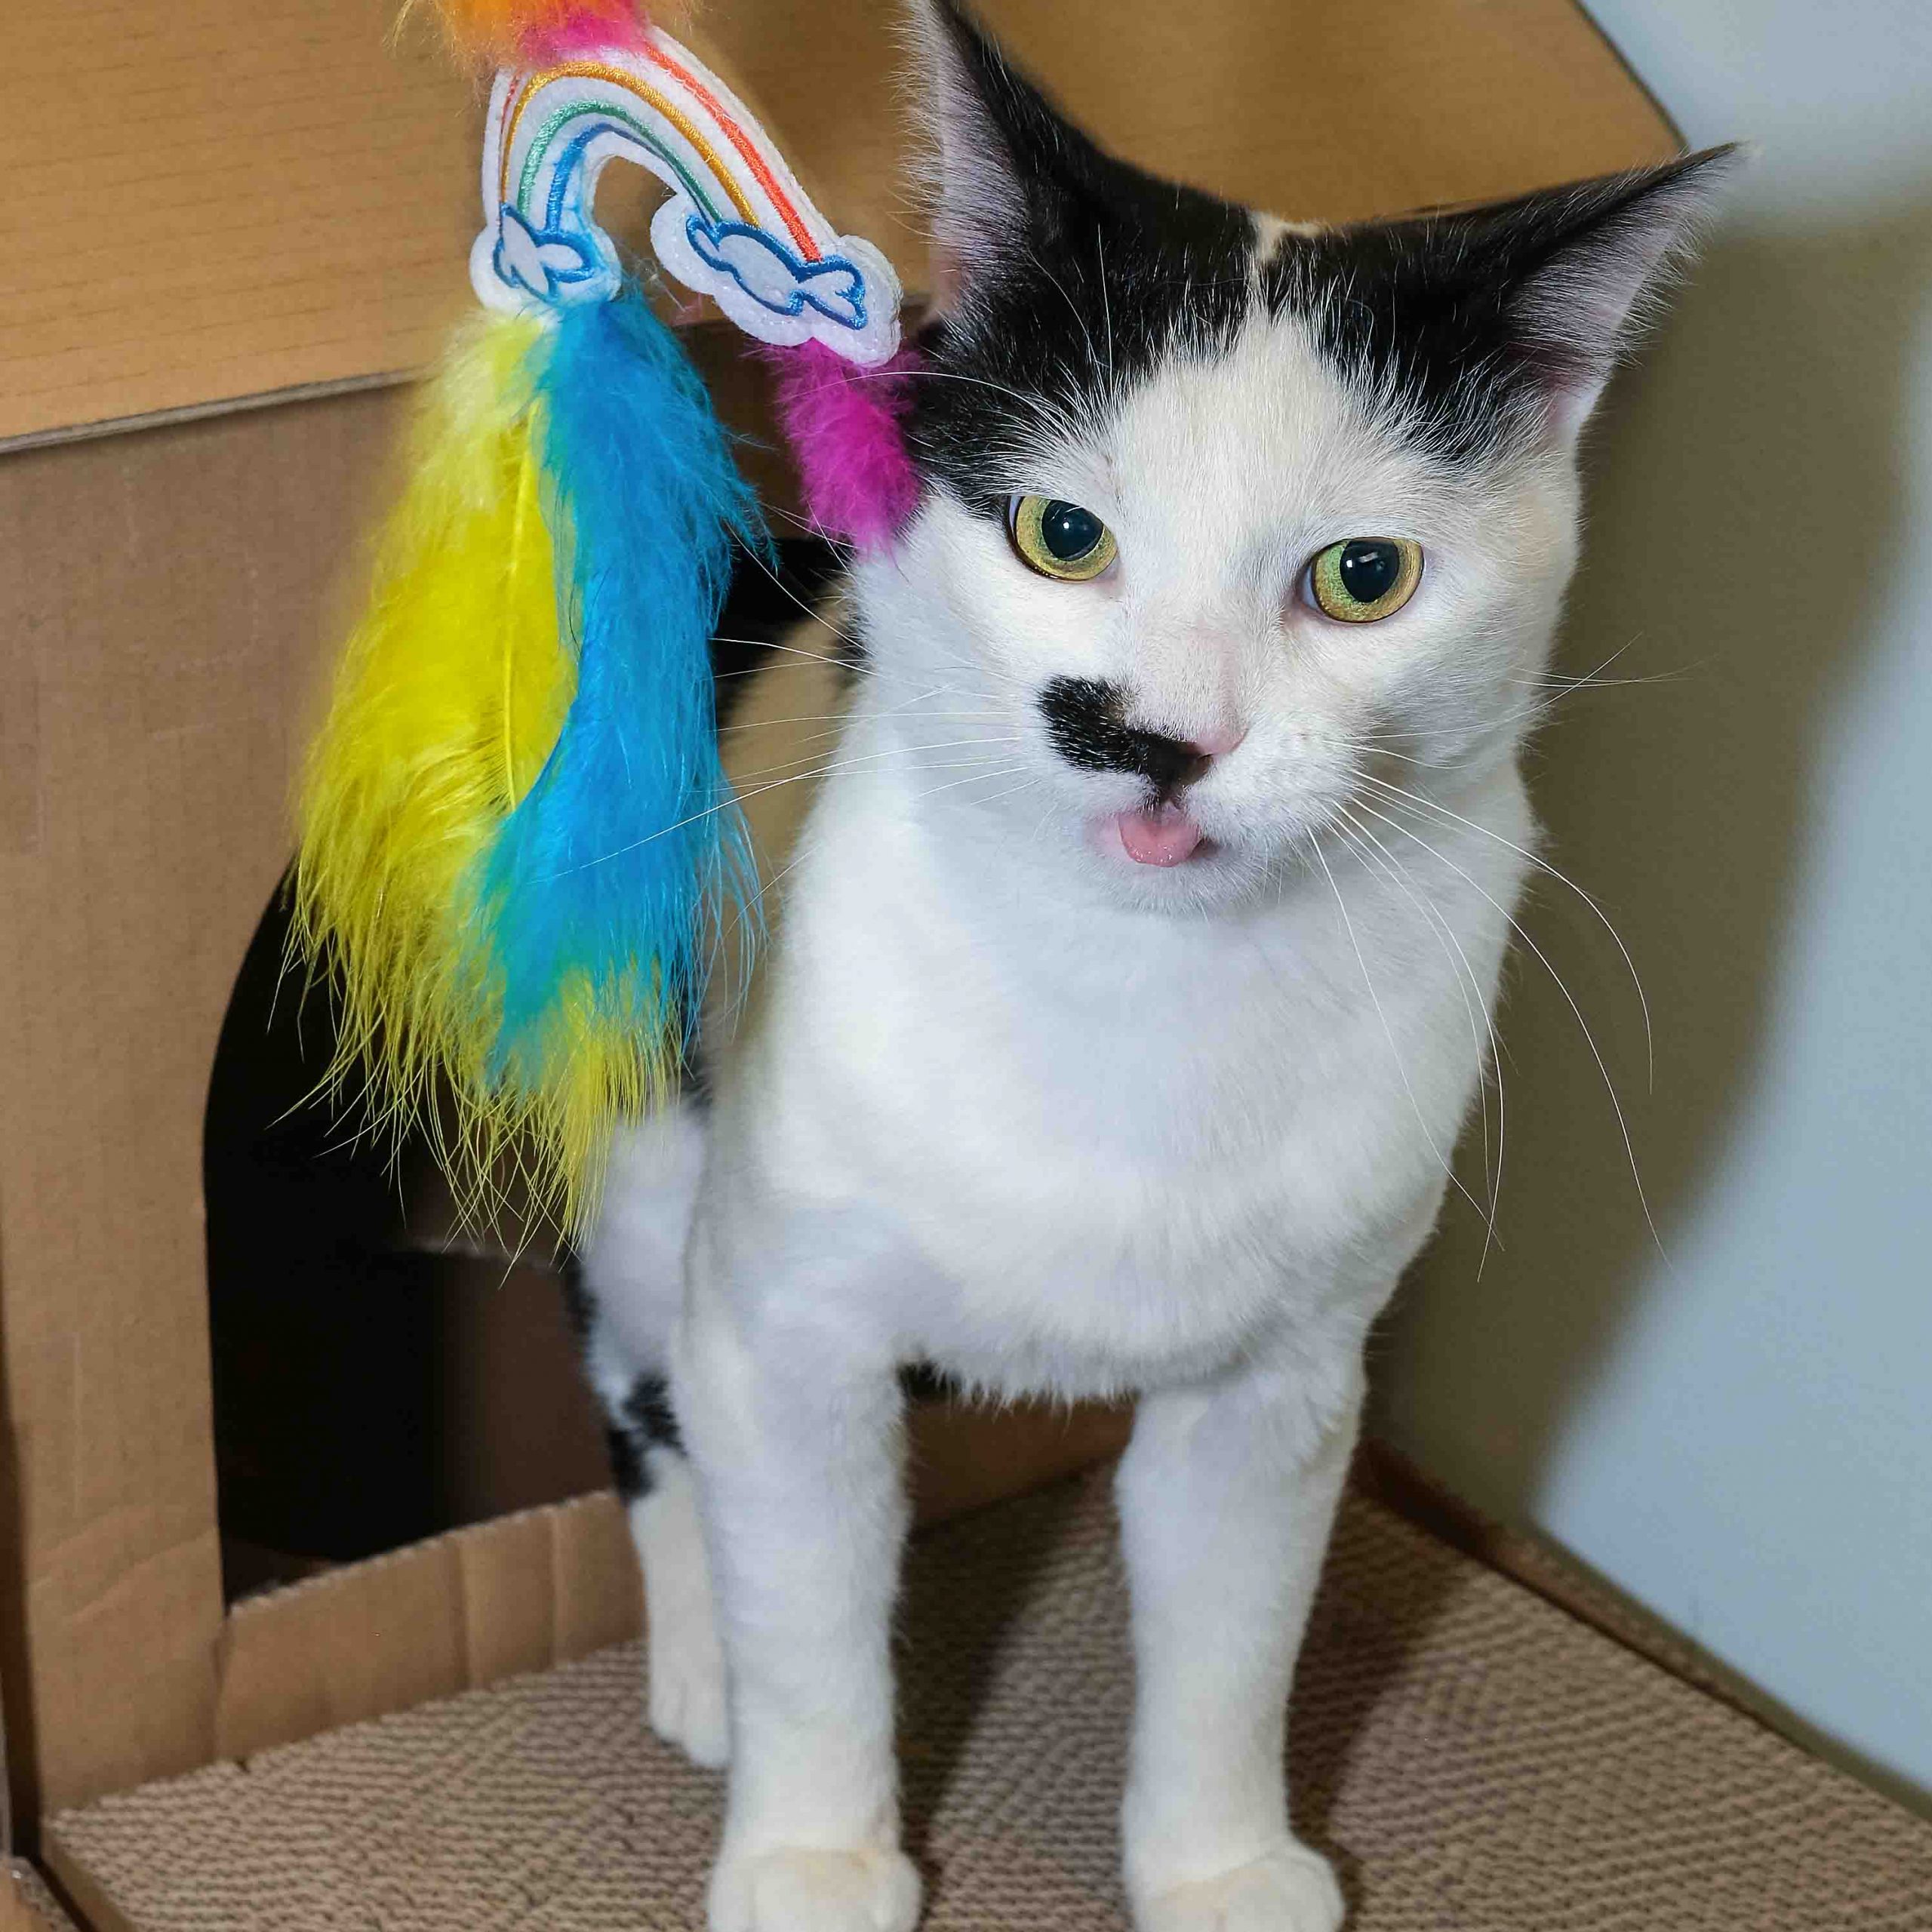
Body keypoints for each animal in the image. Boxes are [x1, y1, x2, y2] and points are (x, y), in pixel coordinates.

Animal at [564, 4, 1730, 1932]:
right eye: (1061, 534)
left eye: (1361, 575)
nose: (1154, 737)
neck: (1139, 999)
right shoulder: (784, 1310)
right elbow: (809, 1597)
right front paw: (813, 1846)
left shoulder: (1281, 1378)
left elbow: (1232, 1641)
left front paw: (1217, 1864)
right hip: (658, 1166)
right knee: (637, 1387)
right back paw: (698, 1659)